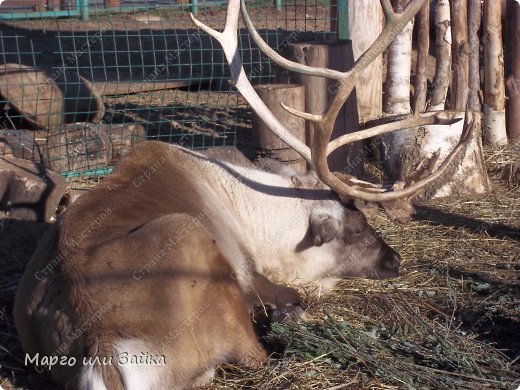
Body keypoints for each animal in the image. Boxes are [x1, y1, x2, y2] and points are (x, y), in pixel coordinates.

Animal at [13, 0, 480, 388]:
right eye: (357, 226)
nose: (394, 259)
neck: (255, 214)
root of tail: (101, 348)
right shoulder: (250, 272)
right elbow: (292, 293)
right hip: (190, 238)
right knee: (257, 354)